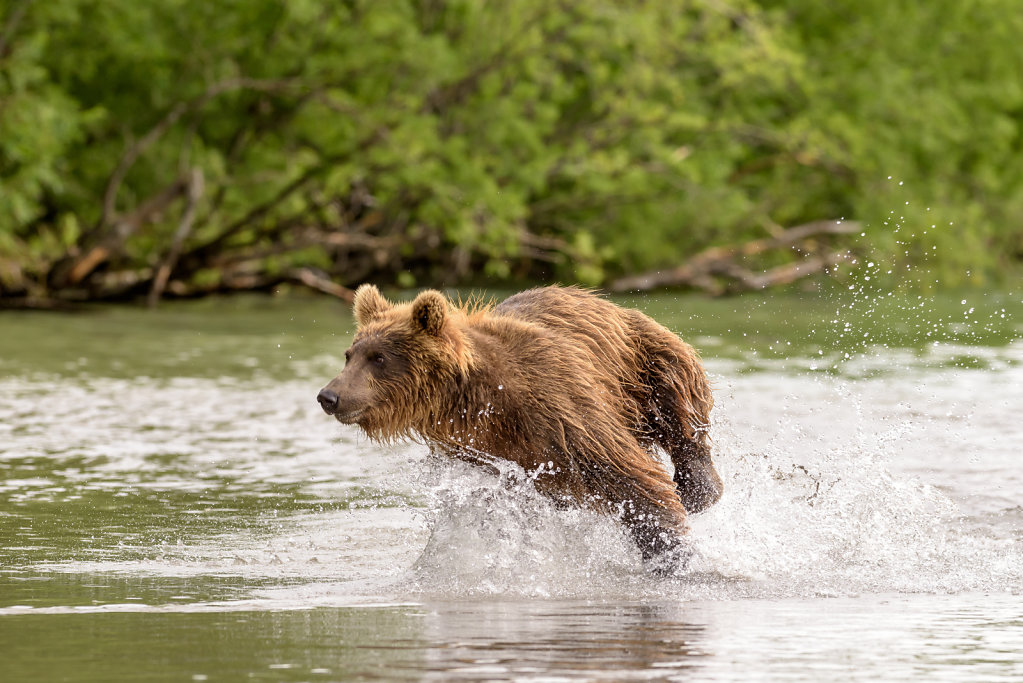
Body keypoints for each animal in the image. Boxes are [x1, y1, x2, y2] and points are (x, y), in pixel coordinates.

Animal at [315, 286, 724, 568]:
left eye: (379, 357)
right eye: (350, 354)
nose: (329, 395)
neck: (476, 397)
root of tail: (602, 300)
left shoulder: (560, 405)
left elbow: (628, 473)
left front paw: (671, 554)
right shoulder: (486, 448)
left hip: (642, 362)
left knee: (681, 412)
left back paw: (695, 487)